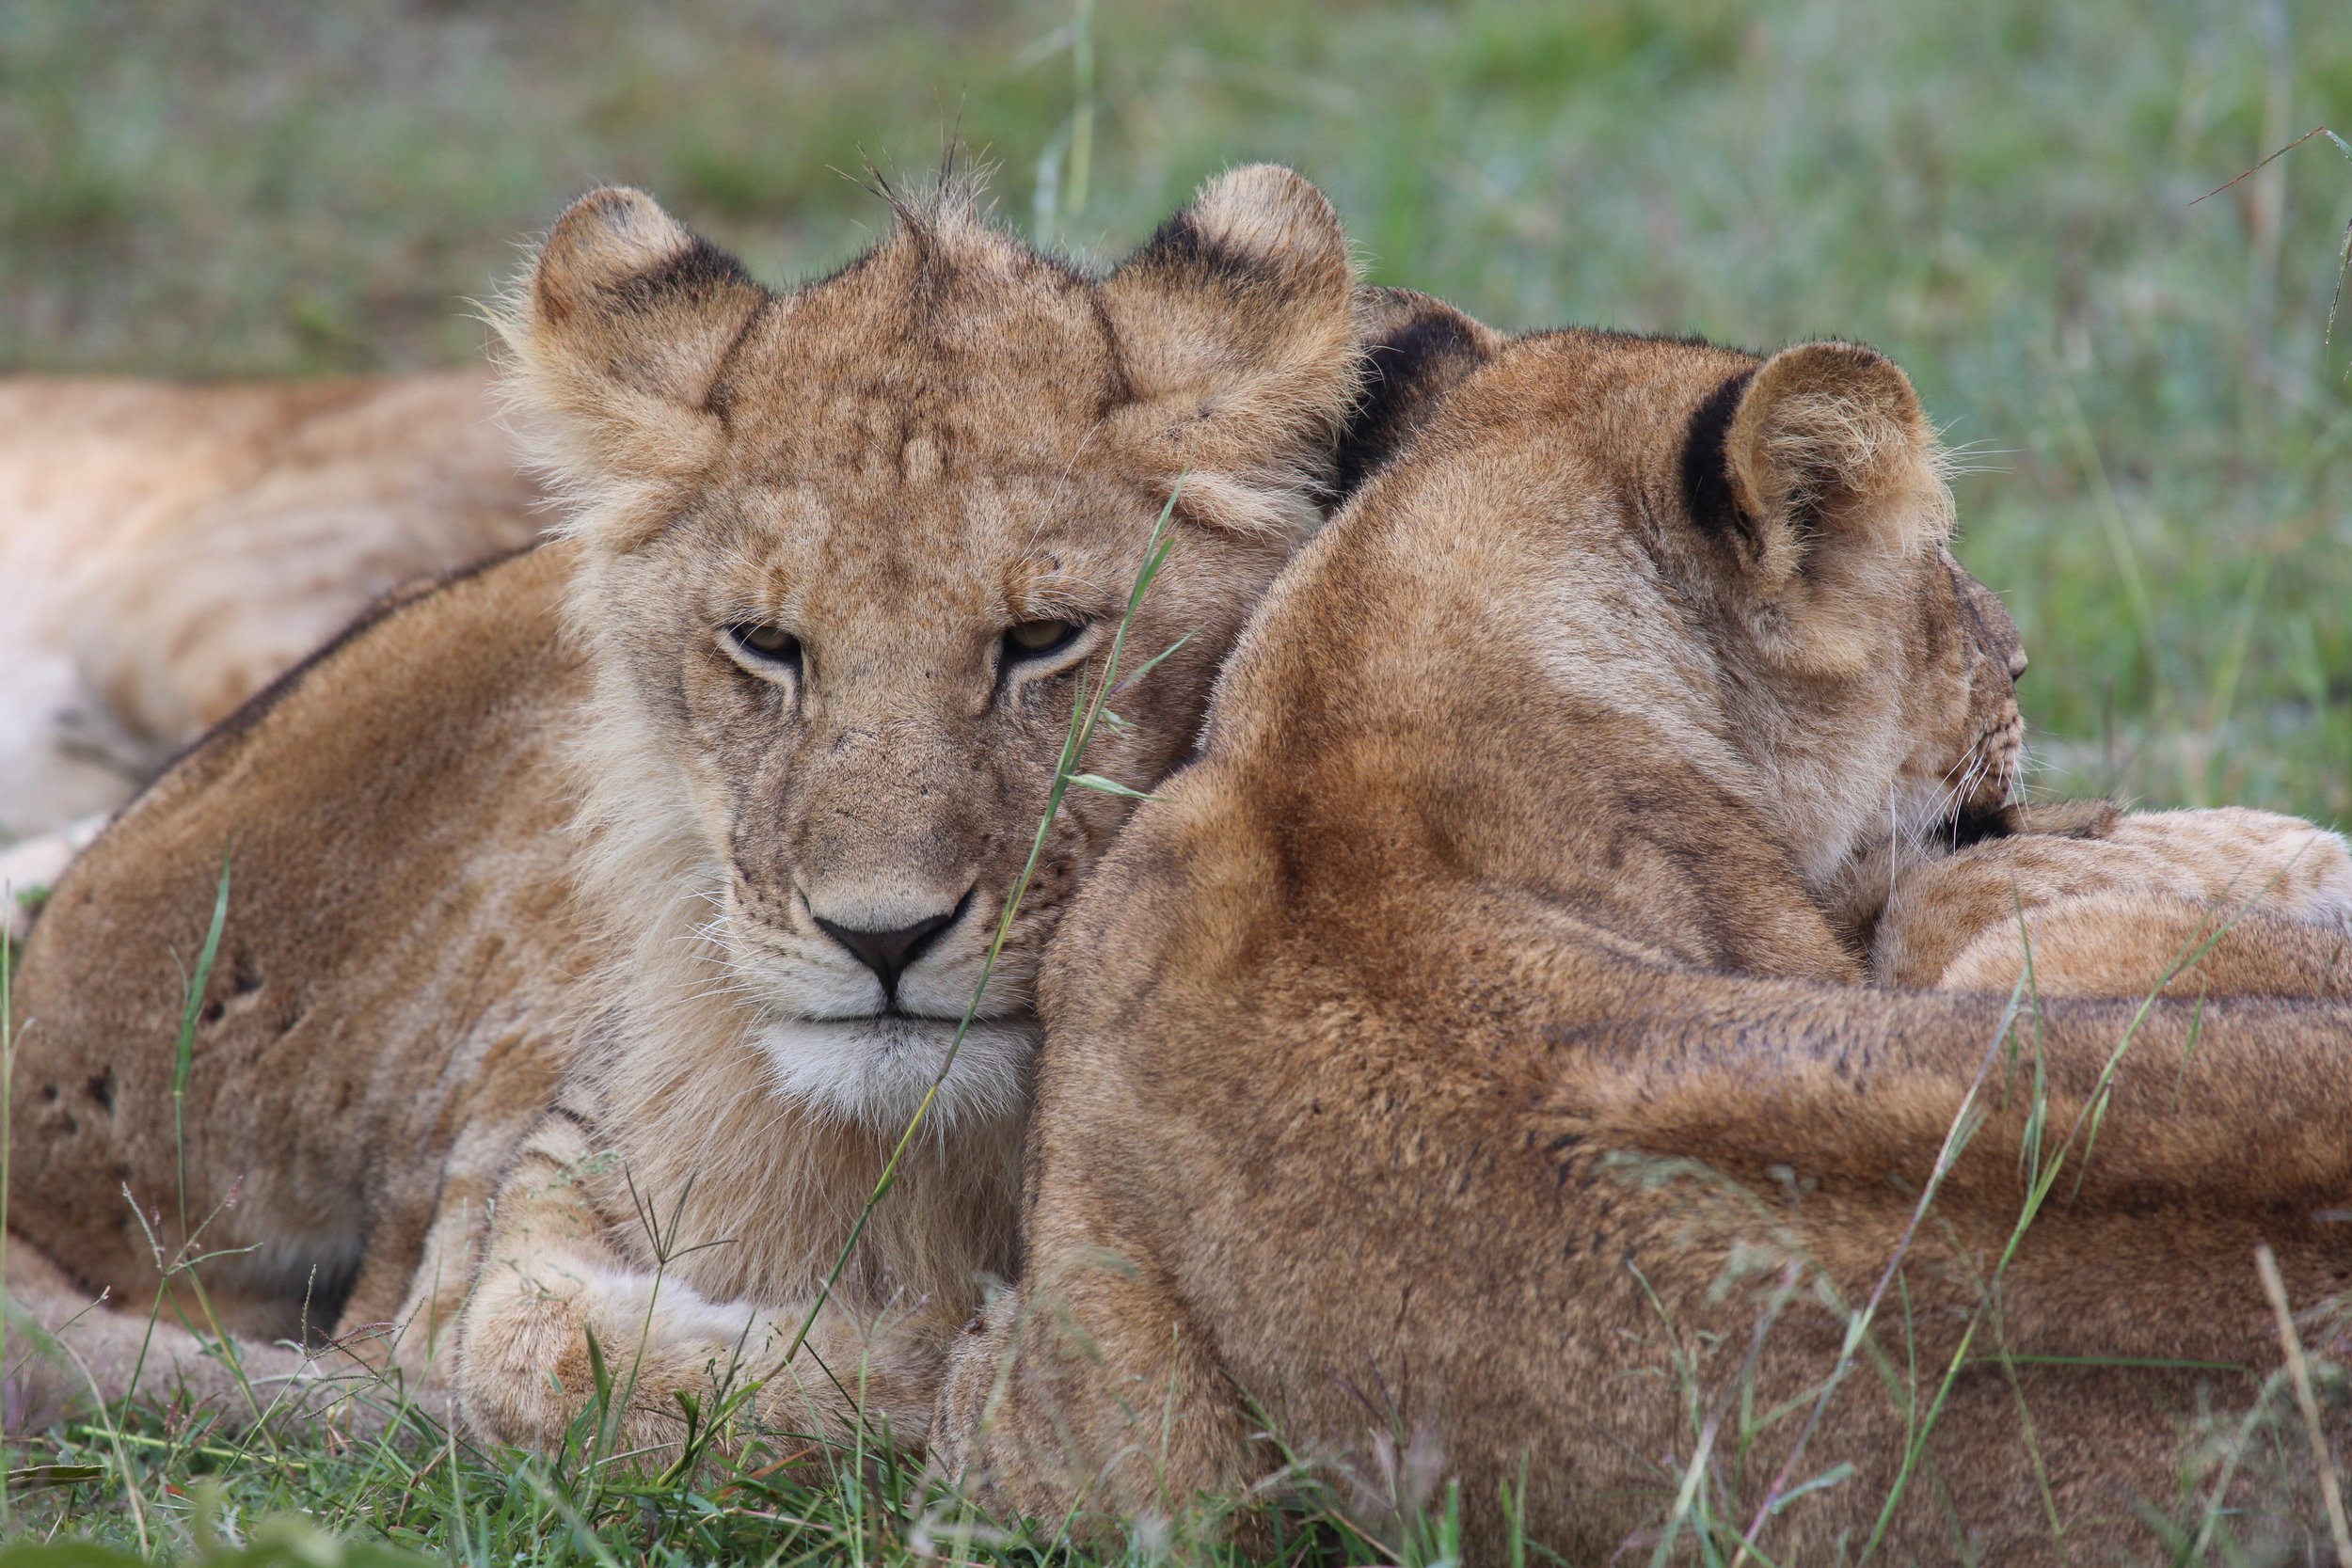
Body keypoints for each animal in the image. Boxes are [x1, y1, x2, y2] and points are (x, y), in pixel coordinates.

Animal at [4, 169, 1487, 1447]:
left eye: (1043, 638)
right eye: (767, 644)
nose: (882, 939)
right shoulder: (563, 1151)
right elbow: (530, 1348)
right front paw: (926, 1350)